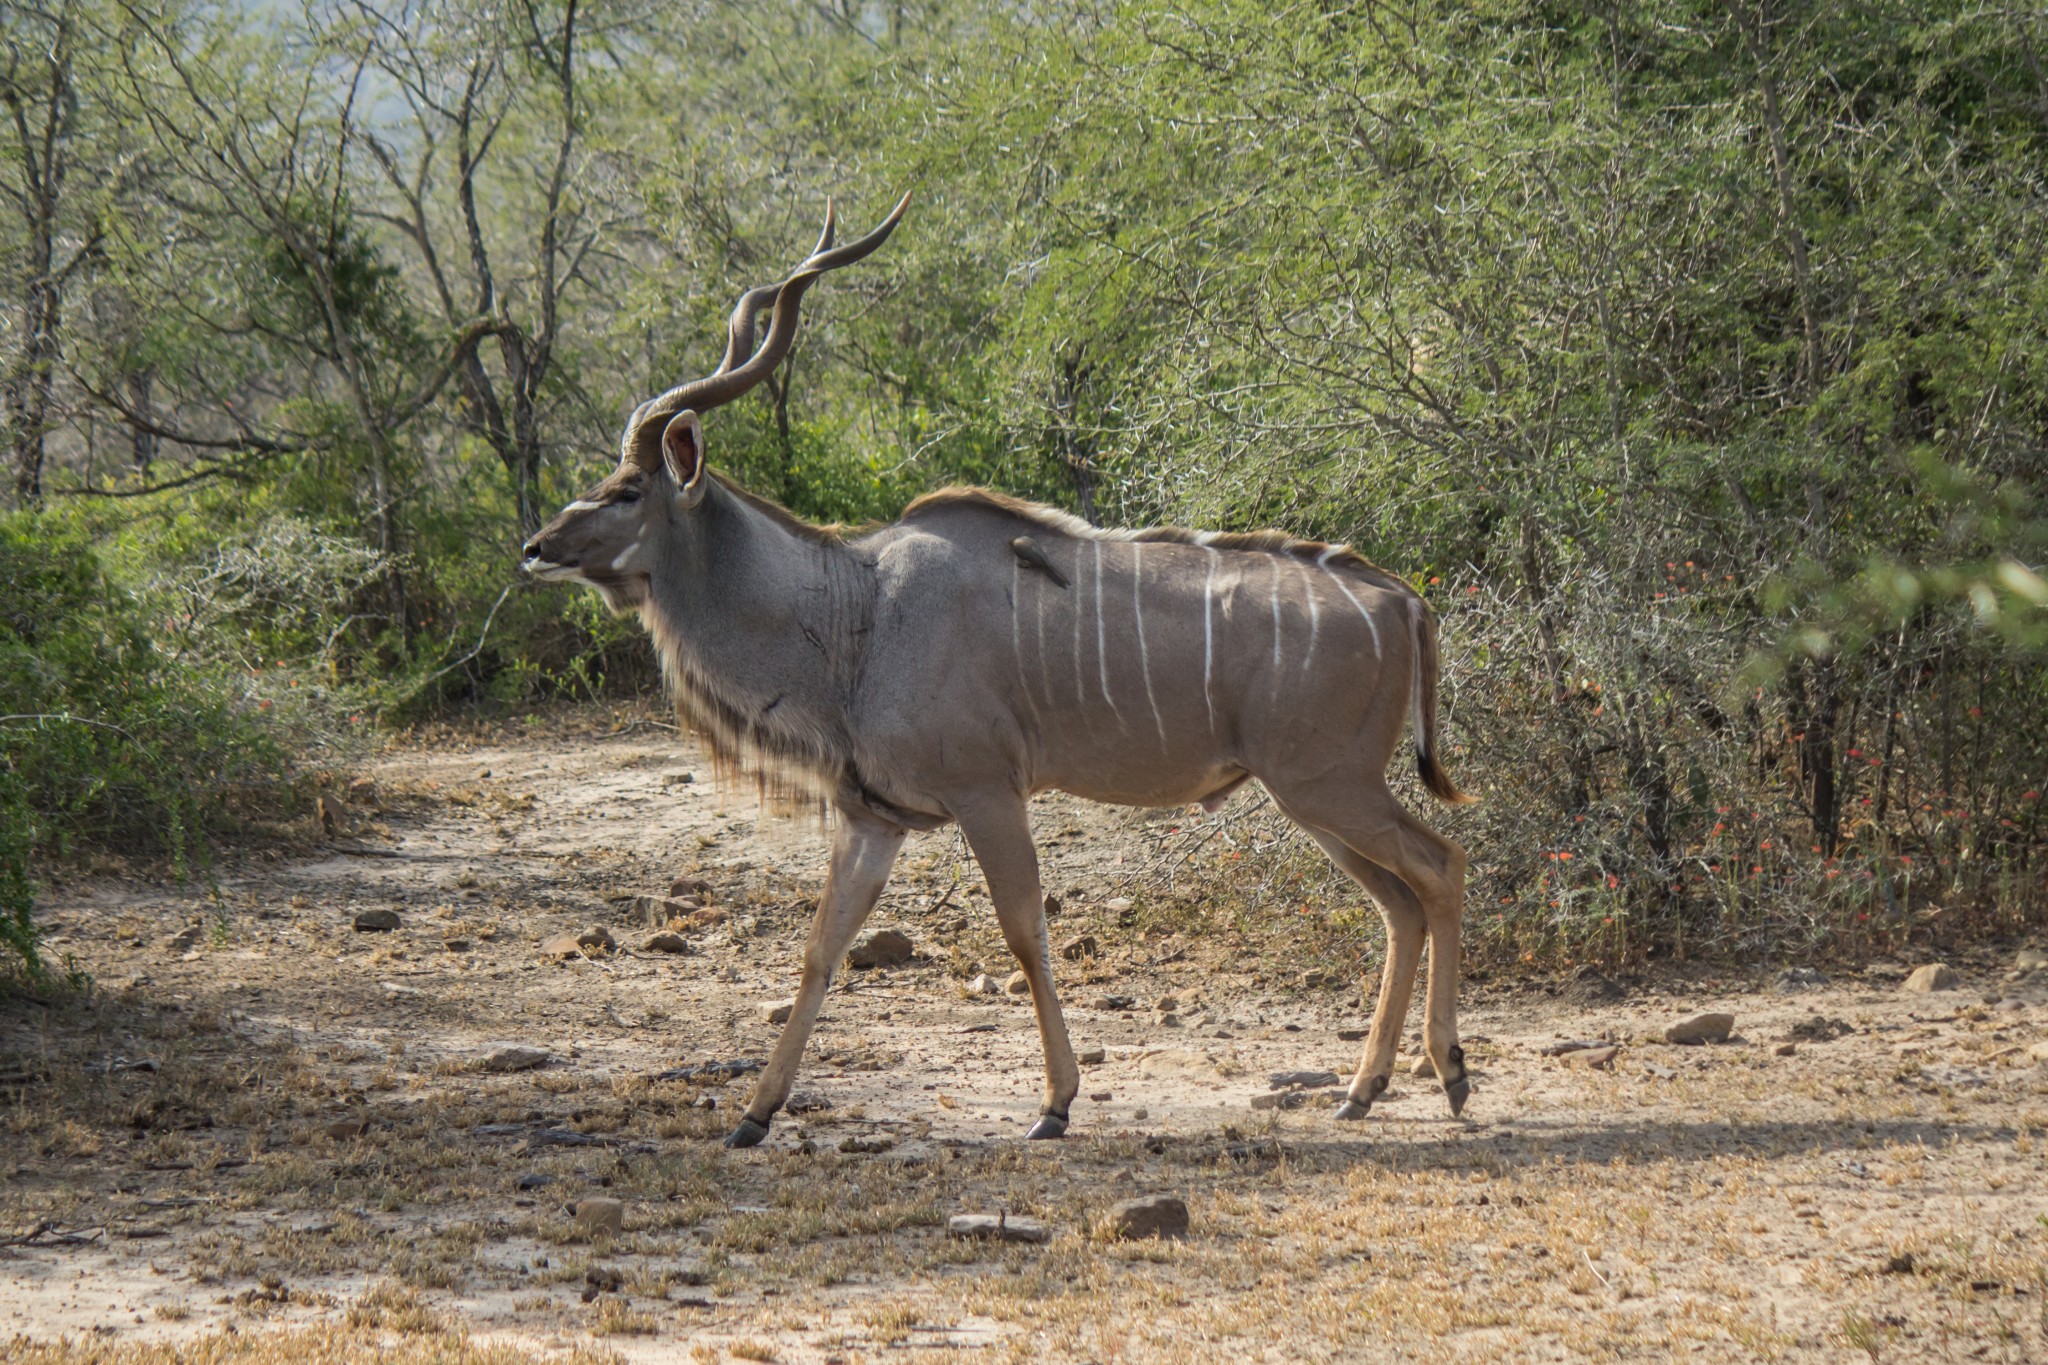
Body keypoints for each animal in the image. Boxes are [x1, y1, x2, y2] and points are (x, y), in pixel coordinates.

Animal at [516, 197, 1474, 1146]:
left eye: (628, 491)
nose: (536, 549)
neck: (856, 615)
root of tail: (1401, 599)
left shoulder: (988, 793)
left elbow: (1022, 935)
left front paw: (1055, 1102)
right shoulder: (872, 817)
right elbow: (822, 946)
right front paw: (754, 1113)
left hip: (1327, 784)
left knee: (1440, 865)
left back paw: (1451, 1072)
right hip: (1307, 797)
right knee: (1397, 902)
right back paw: (1363, 1087)